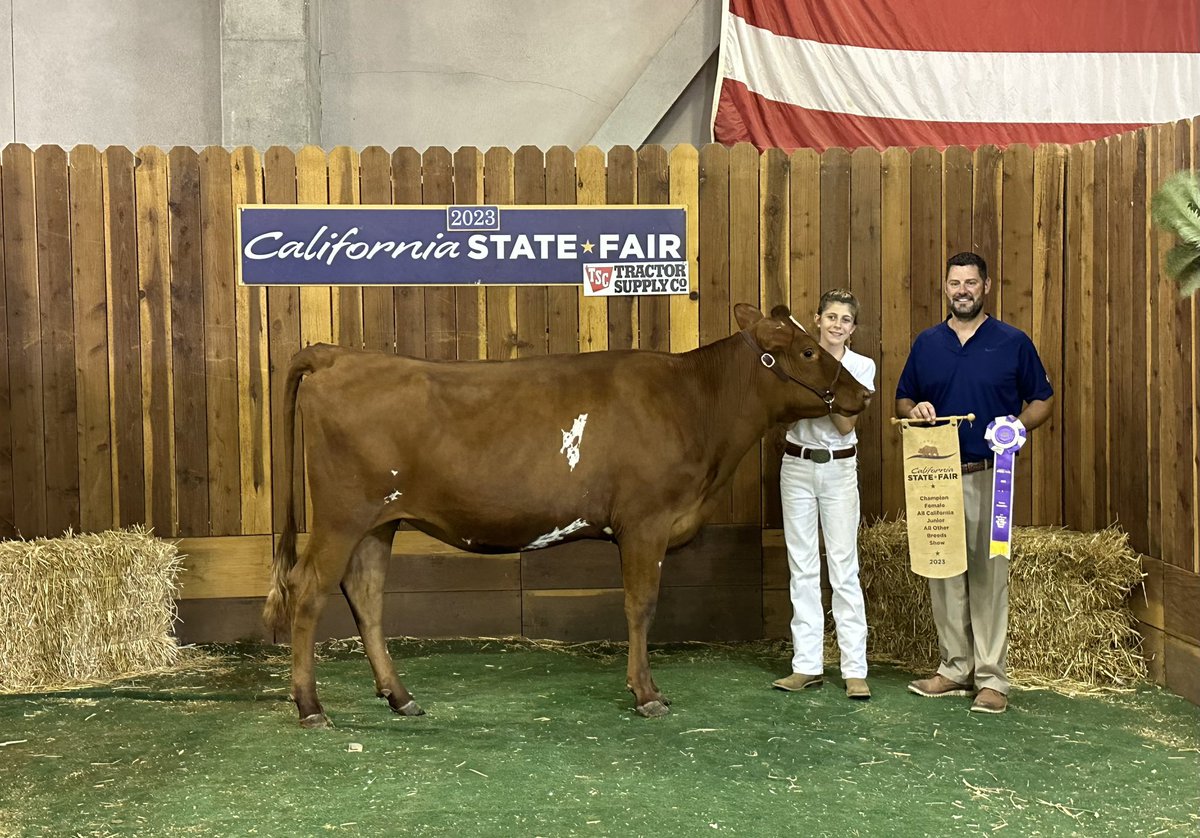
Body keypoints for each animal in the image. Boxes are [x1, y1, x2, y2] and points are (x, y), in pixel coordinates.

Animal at [265, 301, 873, 725]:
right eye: (809, 352)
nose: (862, 395)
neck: (694, 403)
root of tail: (336, 353)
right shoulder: (646, 523)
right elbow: (640, 606)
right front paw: (647, 694)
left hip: (380, 522)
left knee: (366, 597)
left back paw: (400, 697)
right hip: (342, 515)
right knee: (308, 589)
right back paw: (310, 706)